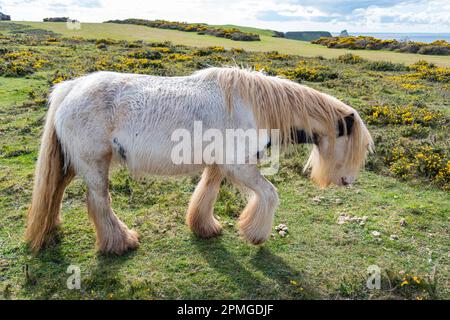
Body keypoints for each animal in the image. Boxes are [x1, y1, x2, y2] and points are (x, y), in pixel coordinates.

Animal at [26, 67, 374, 255]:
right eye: (350, 144)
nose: (347, 181)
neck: (254, 107)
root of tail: (71, 87)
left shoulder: (219, 165)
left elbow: (207, 192)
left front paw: (204, 227)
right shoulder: (239, 166)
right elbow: (270, 194)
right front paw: (255, 234)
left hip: (72, 164)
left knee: (55, 191)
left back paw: (52, 226)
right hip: (94, 164)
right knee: (99, 203)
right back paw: (120, 242)